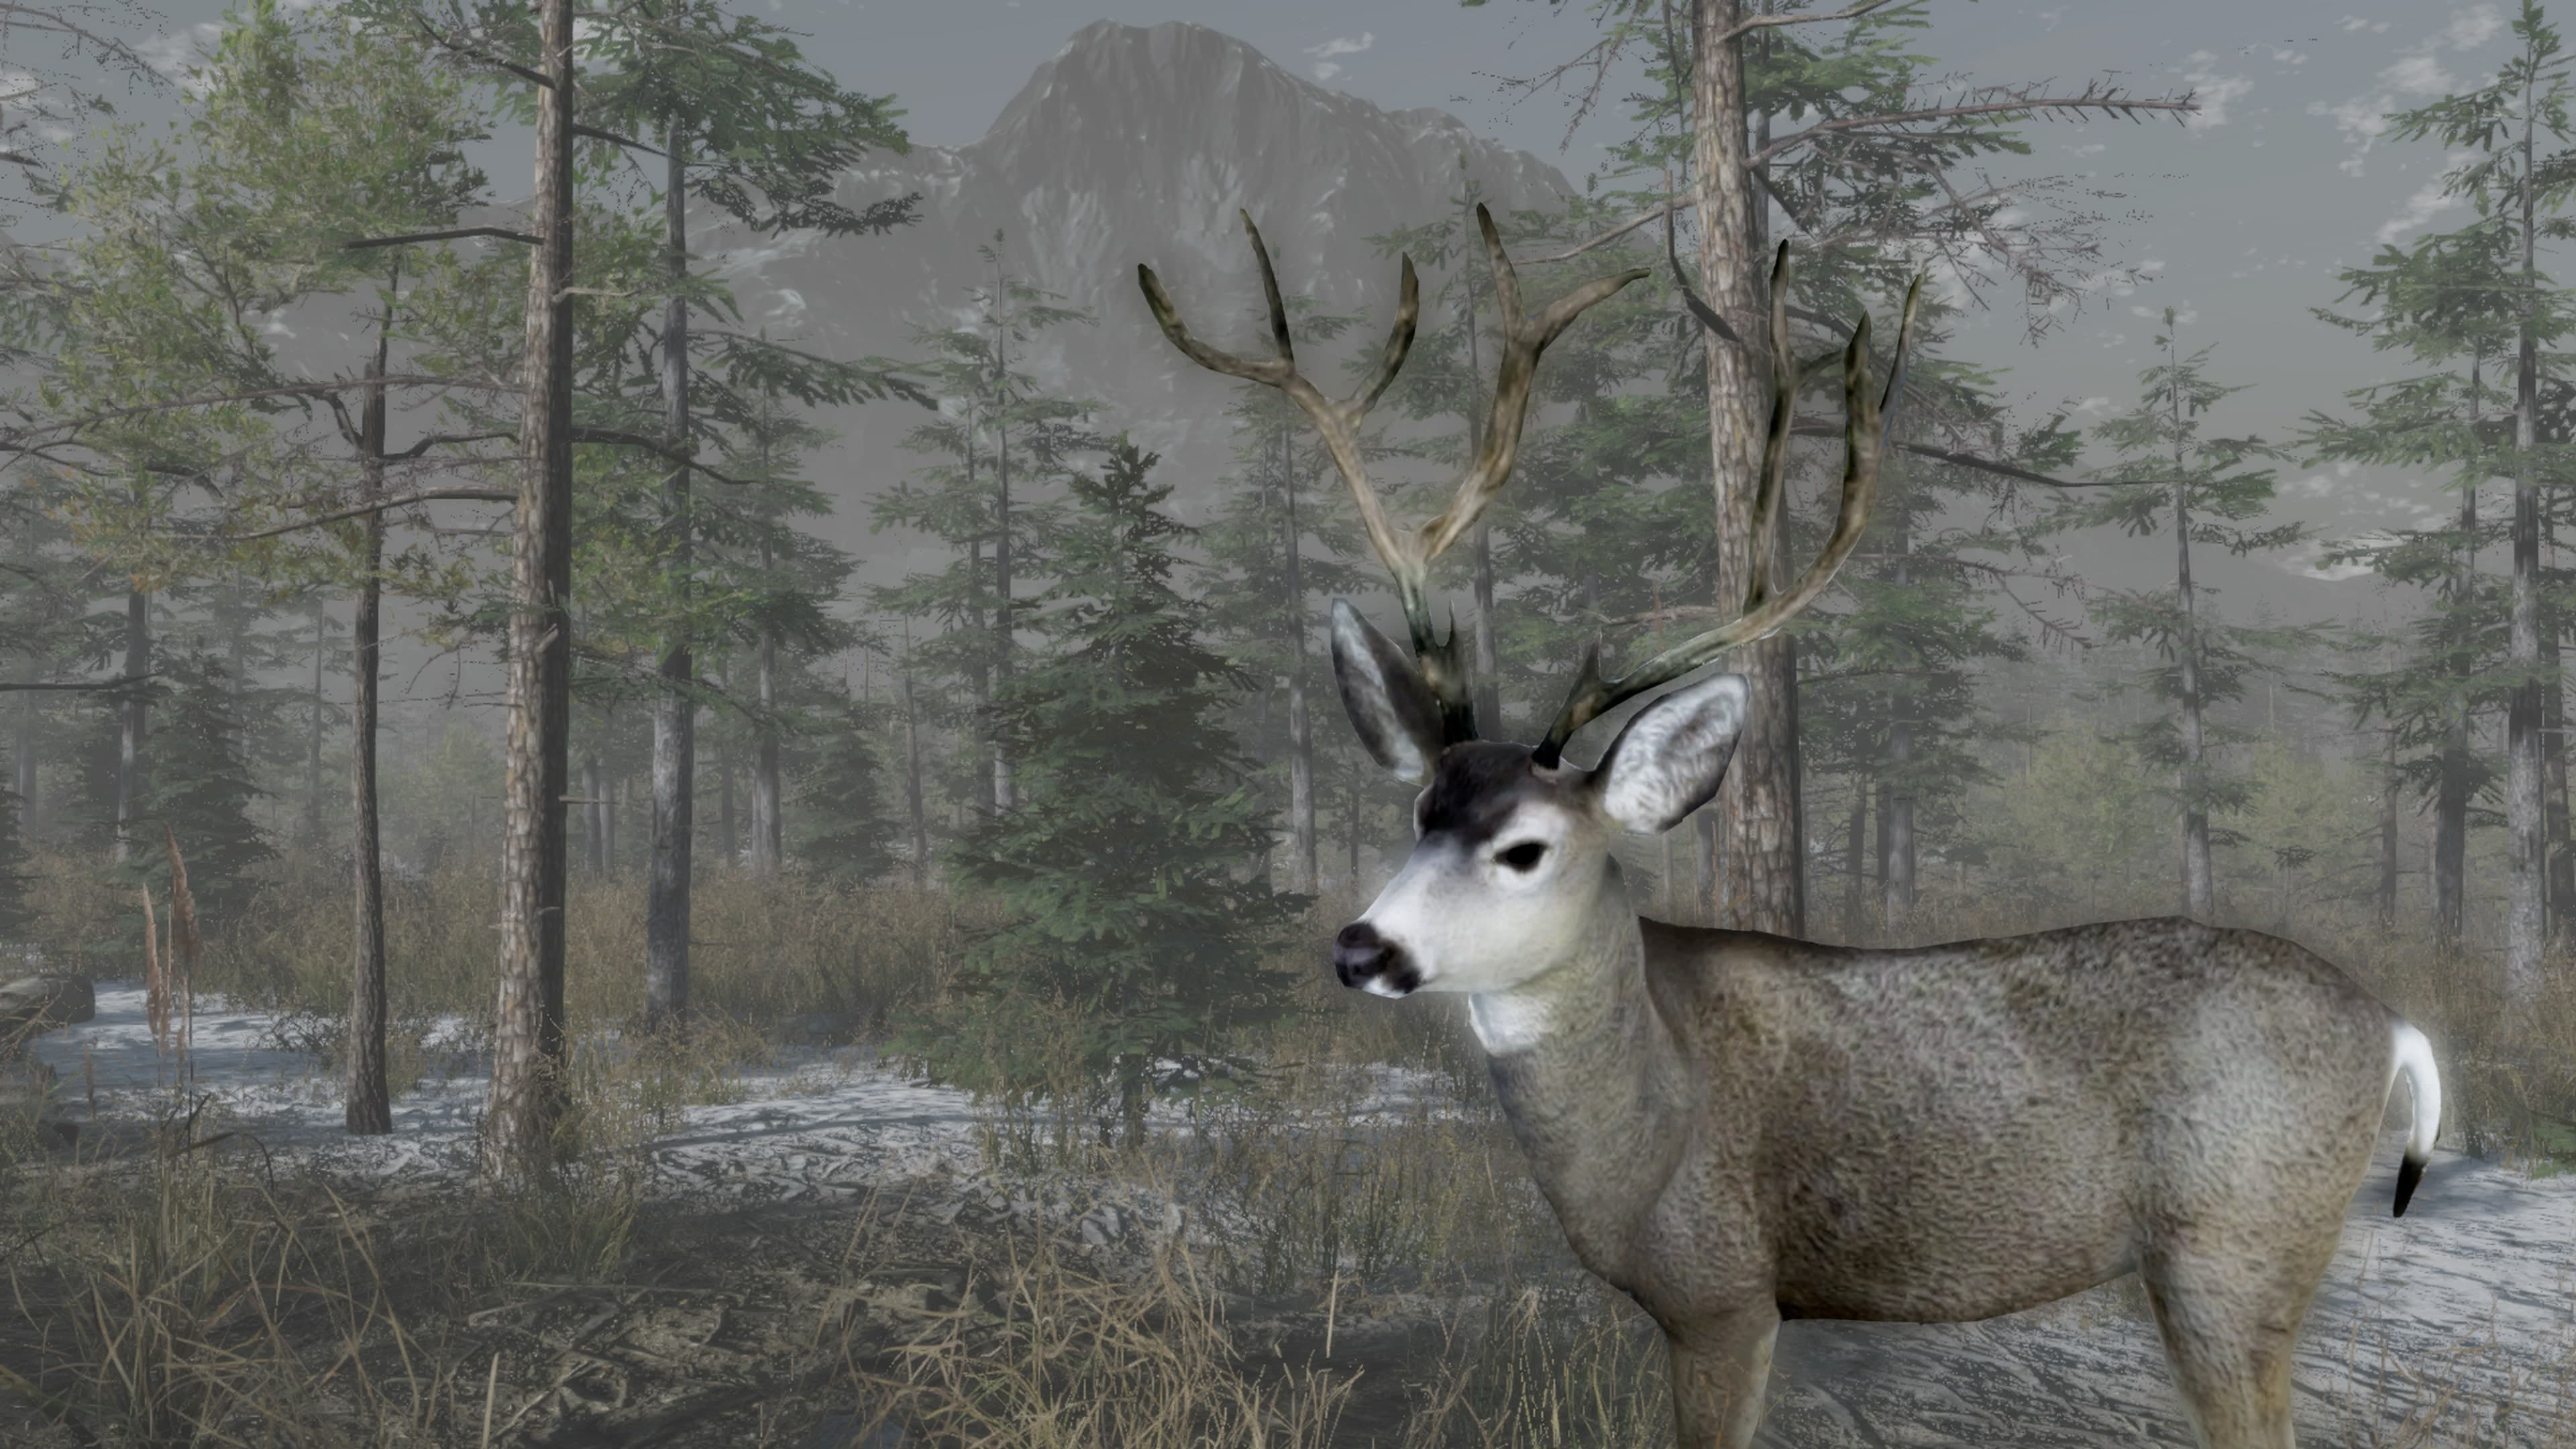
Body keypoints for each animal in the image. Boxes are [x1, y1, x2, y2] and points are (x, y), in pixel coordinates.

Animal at [1137, 207, 2446, 1449]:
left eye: (1525, 848)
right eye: (1417, 812)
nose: (1361, 948)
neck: (1648, 1115)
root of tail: (2394, 1026)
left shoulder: (1722, 1294)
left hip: (2235, 1251)